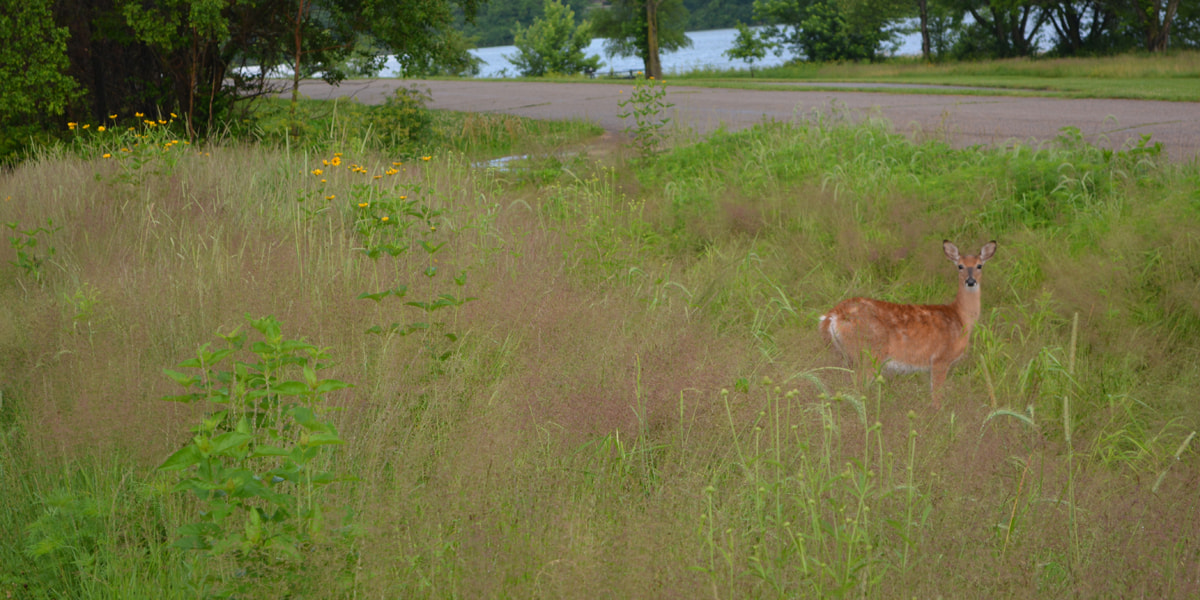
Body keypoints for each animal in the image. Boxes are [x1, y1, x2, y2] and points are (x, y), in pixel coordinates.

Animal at [820, 238, 998, 408]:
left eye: (979, 265)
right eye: (960, 266)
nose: (970, 281)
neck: (960, 318)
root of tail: (833, 315)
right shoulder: (940, 359)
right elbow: (937, 397)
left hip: (845, 355)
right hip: (868, 353)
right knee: (857, 387)